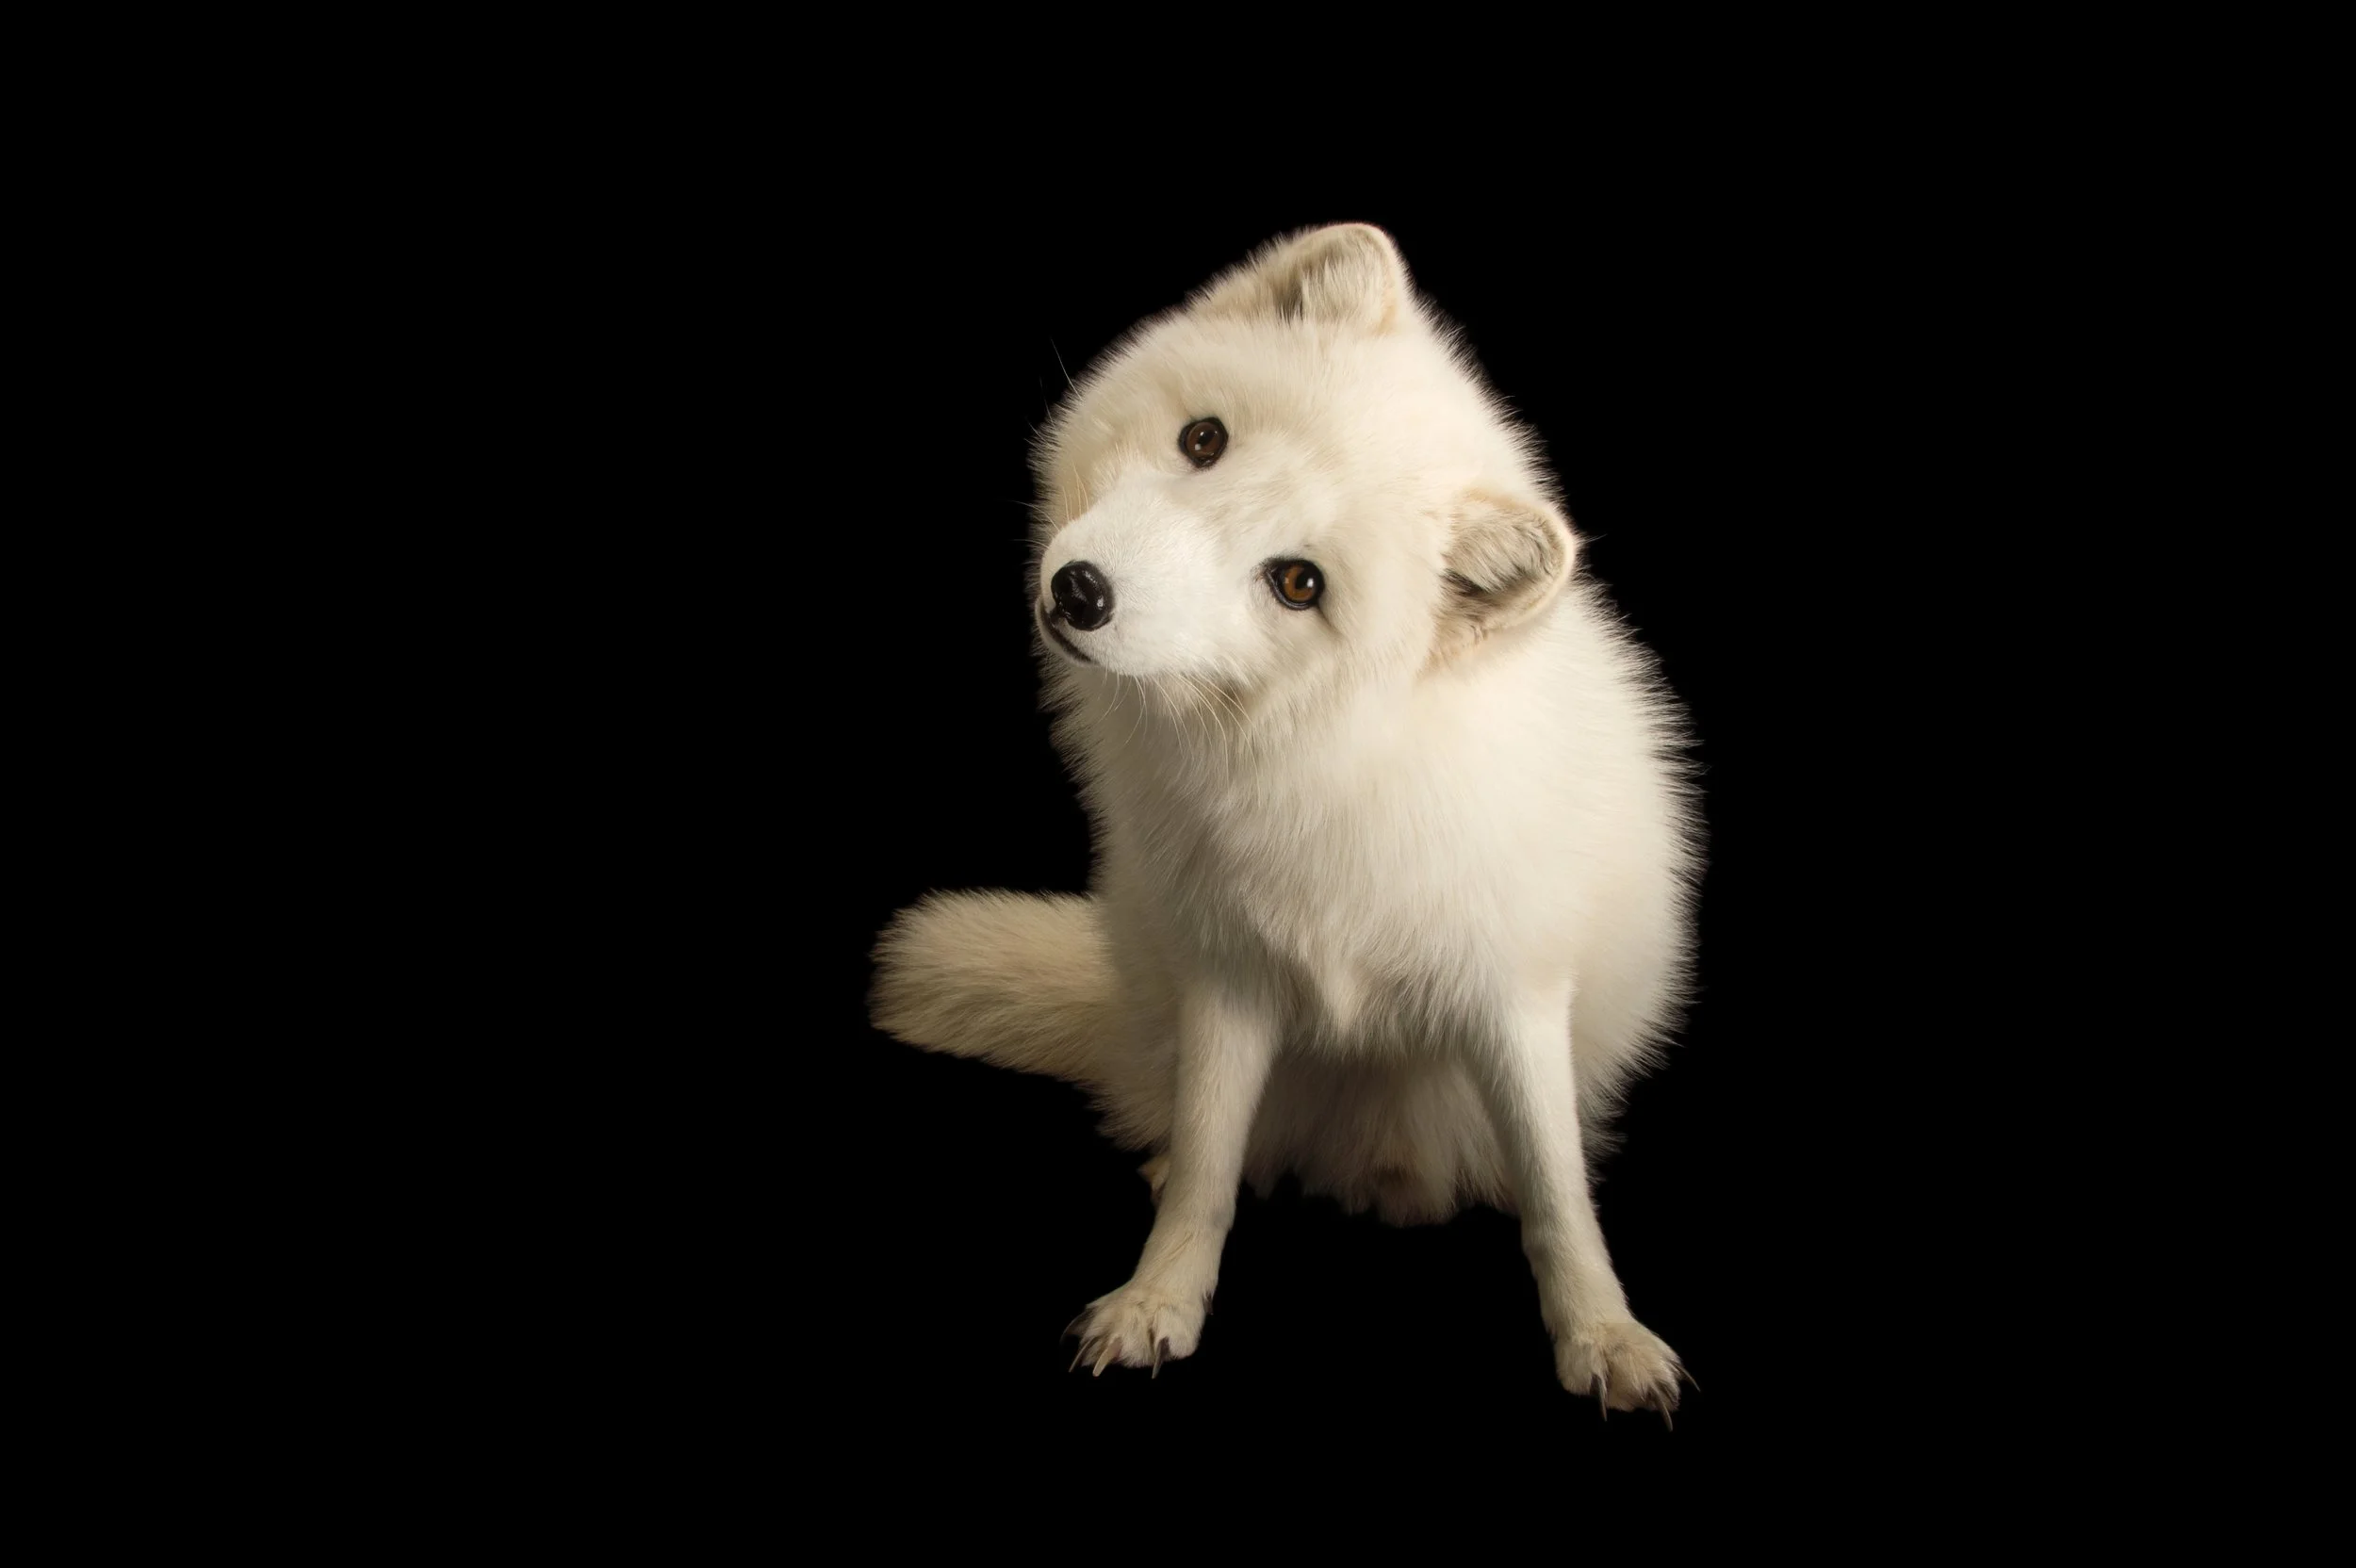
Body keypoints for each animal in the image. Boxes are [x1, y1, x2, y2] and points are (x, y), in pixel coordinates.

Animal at [870, 223, 1701, 1416]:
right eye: (1202, 440)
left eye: (1298, 583)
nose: (1080, 592)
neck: (1332, 765)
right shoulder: (1228, 978)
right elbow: (1209, 1168)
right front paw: (1157, 1298)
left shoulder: (1515, 993)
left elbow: (1556, 1195)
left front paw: (1604, 1332)